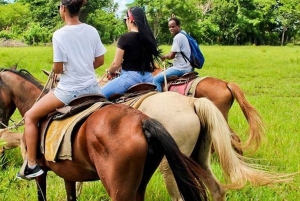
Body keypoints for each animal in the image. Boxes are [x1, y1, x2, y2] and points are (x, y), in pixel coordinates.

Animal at [0, 68, 292, 201]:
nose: (2, 122)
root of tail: (192, 104)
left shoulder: (46, 171)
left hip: (170, 167)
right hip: (197, 157)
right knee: (217, 184)